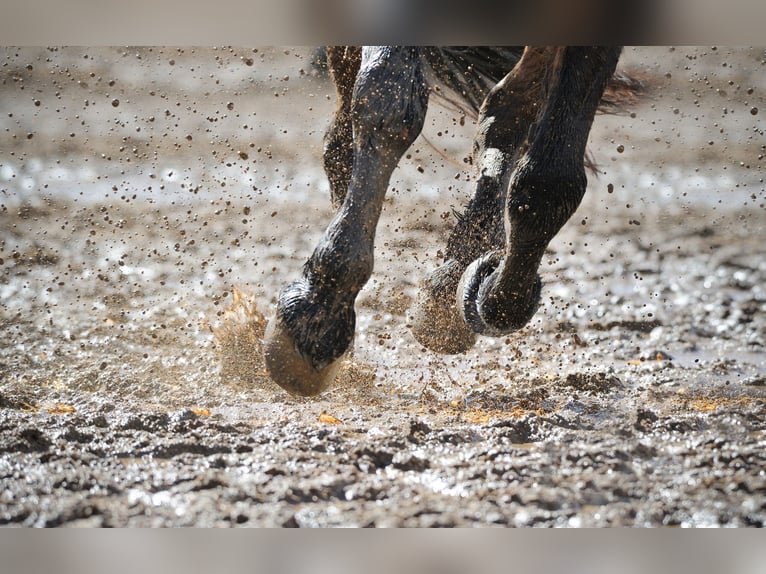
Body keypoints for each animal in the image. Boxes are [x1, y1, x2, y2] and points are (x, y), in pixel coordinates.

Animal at [262, 46, 640, 396]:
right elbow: (388, 103)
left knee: (509, 105)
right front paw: (318, 313)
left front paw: (494, 292)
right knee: (341, 139)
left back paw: (454, 280)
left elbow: (550, 177)